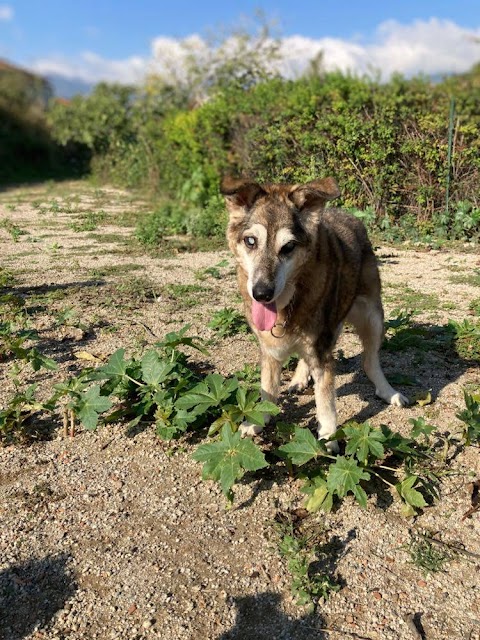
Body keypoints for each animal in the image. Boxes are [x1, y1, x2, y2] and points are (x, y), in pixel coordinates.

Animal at [222, 175, 408, 450]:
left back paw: (389, 392)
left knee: (369, 360)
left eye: (288, 246)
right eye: (250, 241)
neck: (288, 304)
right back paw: (300, 377)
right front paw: (257, 421)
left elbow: (325, 401)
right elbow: (268, 388)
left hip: (372, 317)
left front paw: (328, 439)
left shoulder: (322, 353)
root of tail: (344, 213)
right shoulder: (270, 349)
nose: (262, 293)